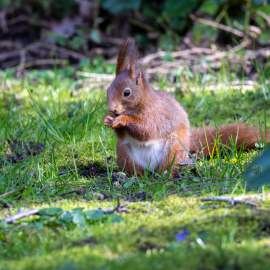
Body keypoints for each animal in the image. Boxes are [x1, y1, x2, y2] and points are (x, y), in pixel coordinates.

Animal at [103, 39, 270, 176]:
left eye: (127, 92)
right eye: (108, 90)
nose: (112, 109)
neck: (141, 104)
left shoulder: (157, 115)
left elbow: (146, 130)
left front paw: (122, 120)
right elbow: (124, 134)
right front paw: (108, 119)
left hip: (174, 149)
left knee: (168, 167)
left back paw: (164, 175)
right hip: (125, 154)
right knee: (135, 170)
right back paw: (134, 177)